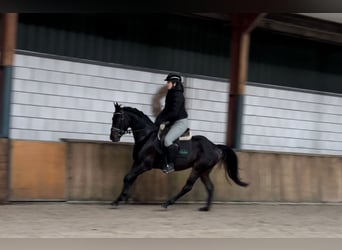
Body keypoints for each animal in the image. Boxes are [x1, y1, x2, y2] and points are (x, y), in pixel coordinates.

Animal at [111, 102, 247, 210]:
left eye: (118, 119)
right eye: (113, 118)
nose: (113, 137)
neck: (147, 136)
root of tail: (215, 147)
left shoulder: (144, 164)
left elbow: (128, 177)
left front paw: (118, 200)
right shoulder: (137, 162)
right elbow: (129, 178)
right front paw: (122, 198)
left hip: (198, 168)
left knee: (188, 186)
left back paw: (167, 203)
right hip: (204, 171)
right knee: (210, 187)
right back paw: (206, 208)